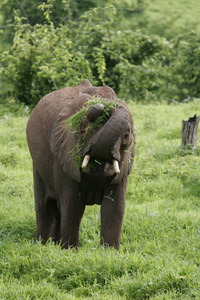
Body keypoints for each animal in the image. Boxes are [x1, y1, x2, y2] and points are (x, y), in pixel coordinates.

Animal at [26, 78, 135, 250]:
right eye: (82, 131)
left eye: (126, 136)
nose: (105, 105)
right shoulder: (63, 155)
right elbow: (72, 206)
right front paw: (70, 252)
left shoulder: (124, 167)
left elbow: (115, 207)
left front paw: (109, 253)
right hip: (37, 164)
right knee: (45, 207)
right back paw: (41, 246)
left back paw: (54, 245)